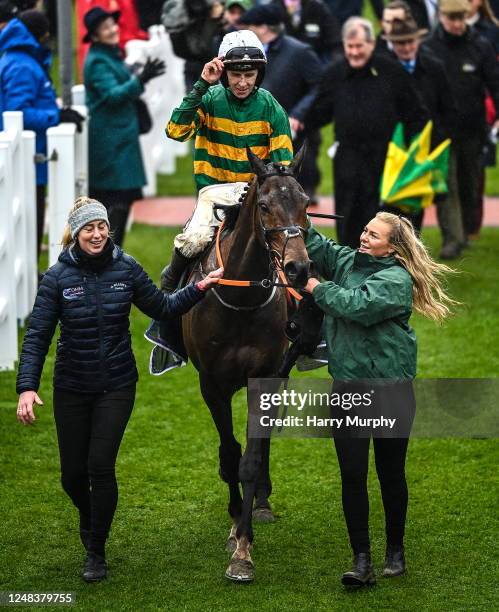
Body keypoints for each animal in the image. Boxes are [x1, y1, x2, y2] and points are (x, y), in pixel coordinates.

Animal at [182, 149, 310, 584]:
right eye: (265, 205)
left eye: (306, 203)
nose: (298, 269)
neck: (241, 300)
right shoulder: (211, 384)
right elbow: (229, 452)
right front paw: (235, 517)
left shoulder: (265, 377)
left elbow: (250, 460)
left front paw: (243, 547)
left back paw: (263, 503)